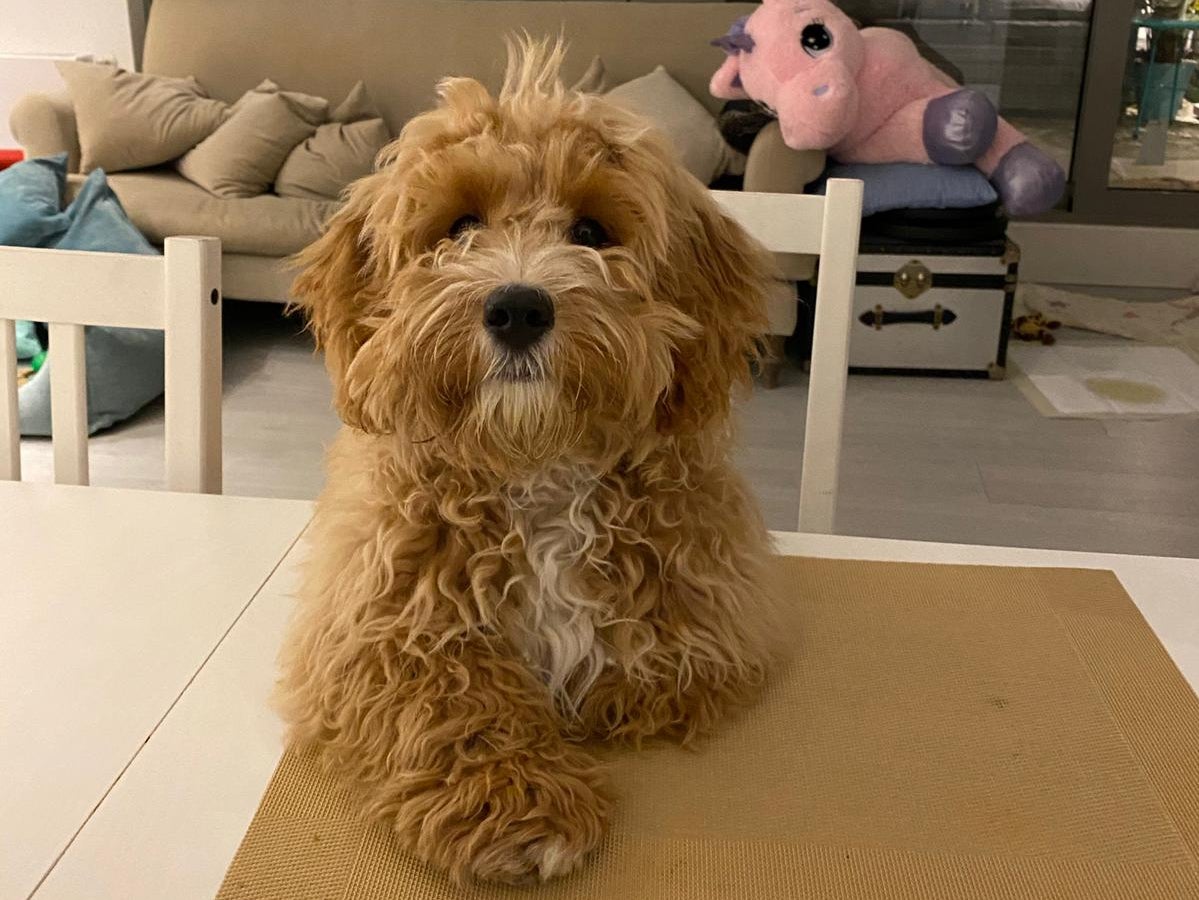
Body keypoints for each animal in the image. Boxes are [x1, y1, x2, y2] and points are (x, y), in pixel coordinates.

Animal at [281, 40, 786, 886]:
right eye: (459, 225)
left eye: (590, 228)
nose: (517, 308)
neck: (535, 466)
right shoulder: (371, 622)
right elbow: (447, 688)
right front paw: (520, 806)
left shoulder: (702, 618)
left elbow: (647, 663)